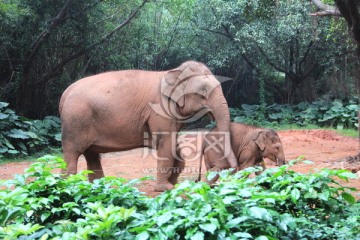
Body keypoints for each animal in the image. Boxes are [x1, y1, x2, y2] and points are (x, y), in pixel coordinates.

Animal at [59, 60, 238, 191]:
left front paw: (173, 183)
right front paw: (165, 188)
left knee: (92, 155)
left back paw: (100, 187)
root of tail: (64, 94)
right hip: (75, 121)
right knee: (72, 154)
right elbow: (166, 144)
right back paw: (68, 187)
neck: (173, 72)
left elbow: (174, 146)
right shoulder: (160, 109)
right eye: (203, 93)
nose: (197, 181)